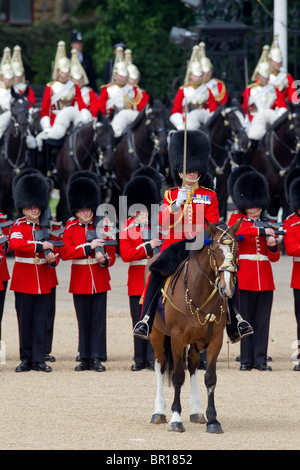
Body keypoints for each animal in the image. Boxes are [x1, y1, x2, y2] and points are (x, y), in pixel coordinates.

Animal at [149, 219, 243, 434]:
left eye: (235, 251)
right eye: (214, 250)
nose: (227, 289)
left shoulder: (215, 340)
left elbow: (210, 377)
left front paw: (213, 420)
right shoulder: (176, 339)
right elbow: (177, 376)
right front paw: (176, 418)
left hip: (195, 343)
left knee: (192, 366)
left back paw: (196, 411)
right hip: (157, 335)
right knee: (160, 365)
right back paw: (159, 411)